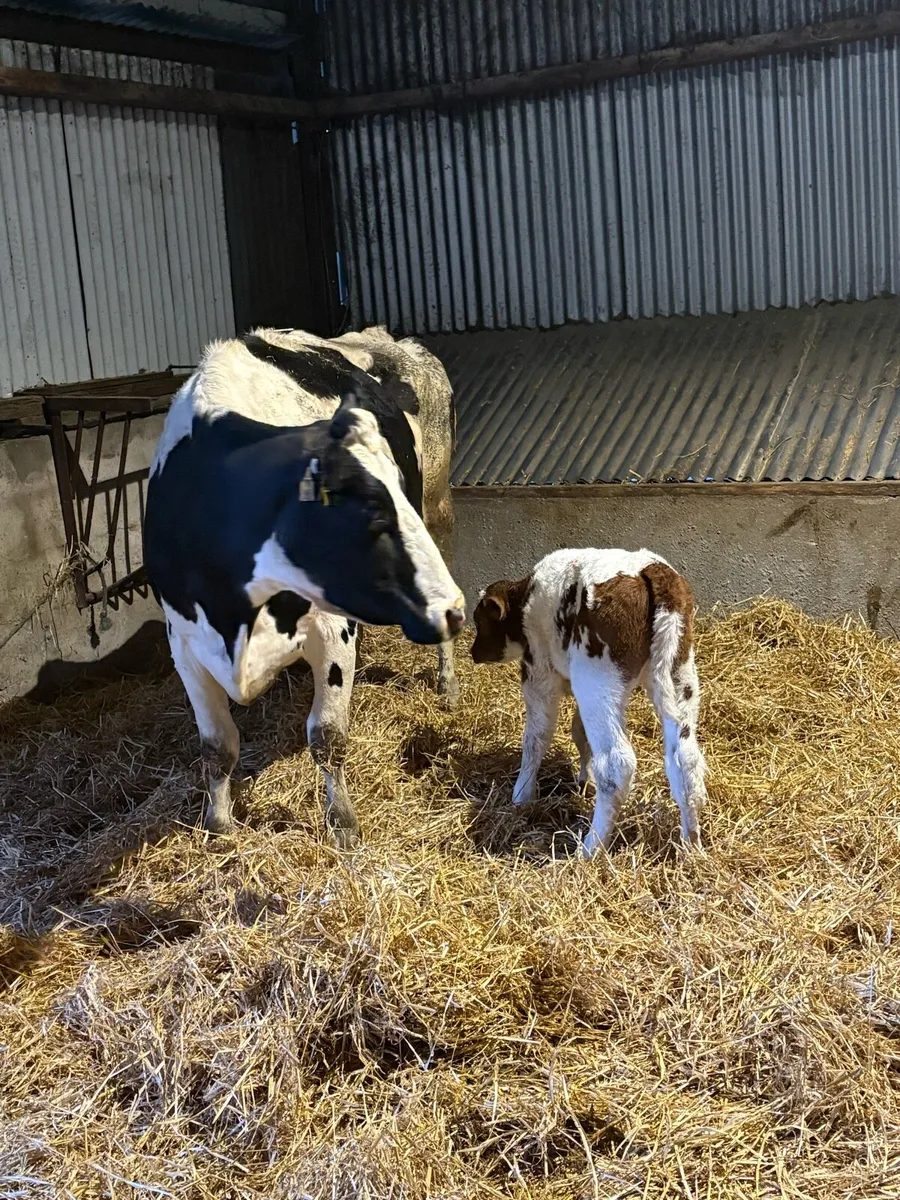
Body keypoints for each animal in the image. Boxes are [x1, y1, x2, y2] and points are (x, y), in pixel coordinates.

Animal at [144, 327, 465, 844]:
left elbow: (327, 735)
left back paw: (448, 685)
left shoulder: (330, 628)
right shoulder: (186, 643)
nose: (451, 609)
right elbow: (216, 745)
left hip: (438, 503)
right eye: (371, 511)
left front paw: (343, 824)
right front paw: (219, 825)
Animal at [470, 549, 707, 856]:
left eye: (479, 620)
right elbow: (579, 732)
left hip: (596, 679)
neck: (526, 598)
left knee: (618, 763)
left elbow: (536, 737)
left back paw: (590, 849)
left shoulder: (539, 672)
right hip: (679, 675)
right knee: (685, 760)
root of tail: (650, 571)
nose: (473, 651)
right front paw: (586, 780)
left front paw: (522, 795)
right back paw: (692, 846)